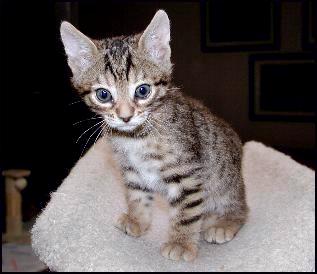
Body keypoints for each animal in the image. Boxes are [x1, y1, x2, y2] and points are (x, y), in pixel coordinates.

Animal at [59, 10, 247, 262]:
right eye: (103, 95)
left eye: (143, 90)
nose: (125, 117)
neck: (135, 137)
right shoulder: (132, 171)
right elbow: (137, 196)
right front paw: (137, 220)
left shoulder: (186, 174)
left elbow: (187, 212)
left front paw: (181, 243)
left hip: (224, 180)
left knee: (239, 206)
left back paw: (224, 223)